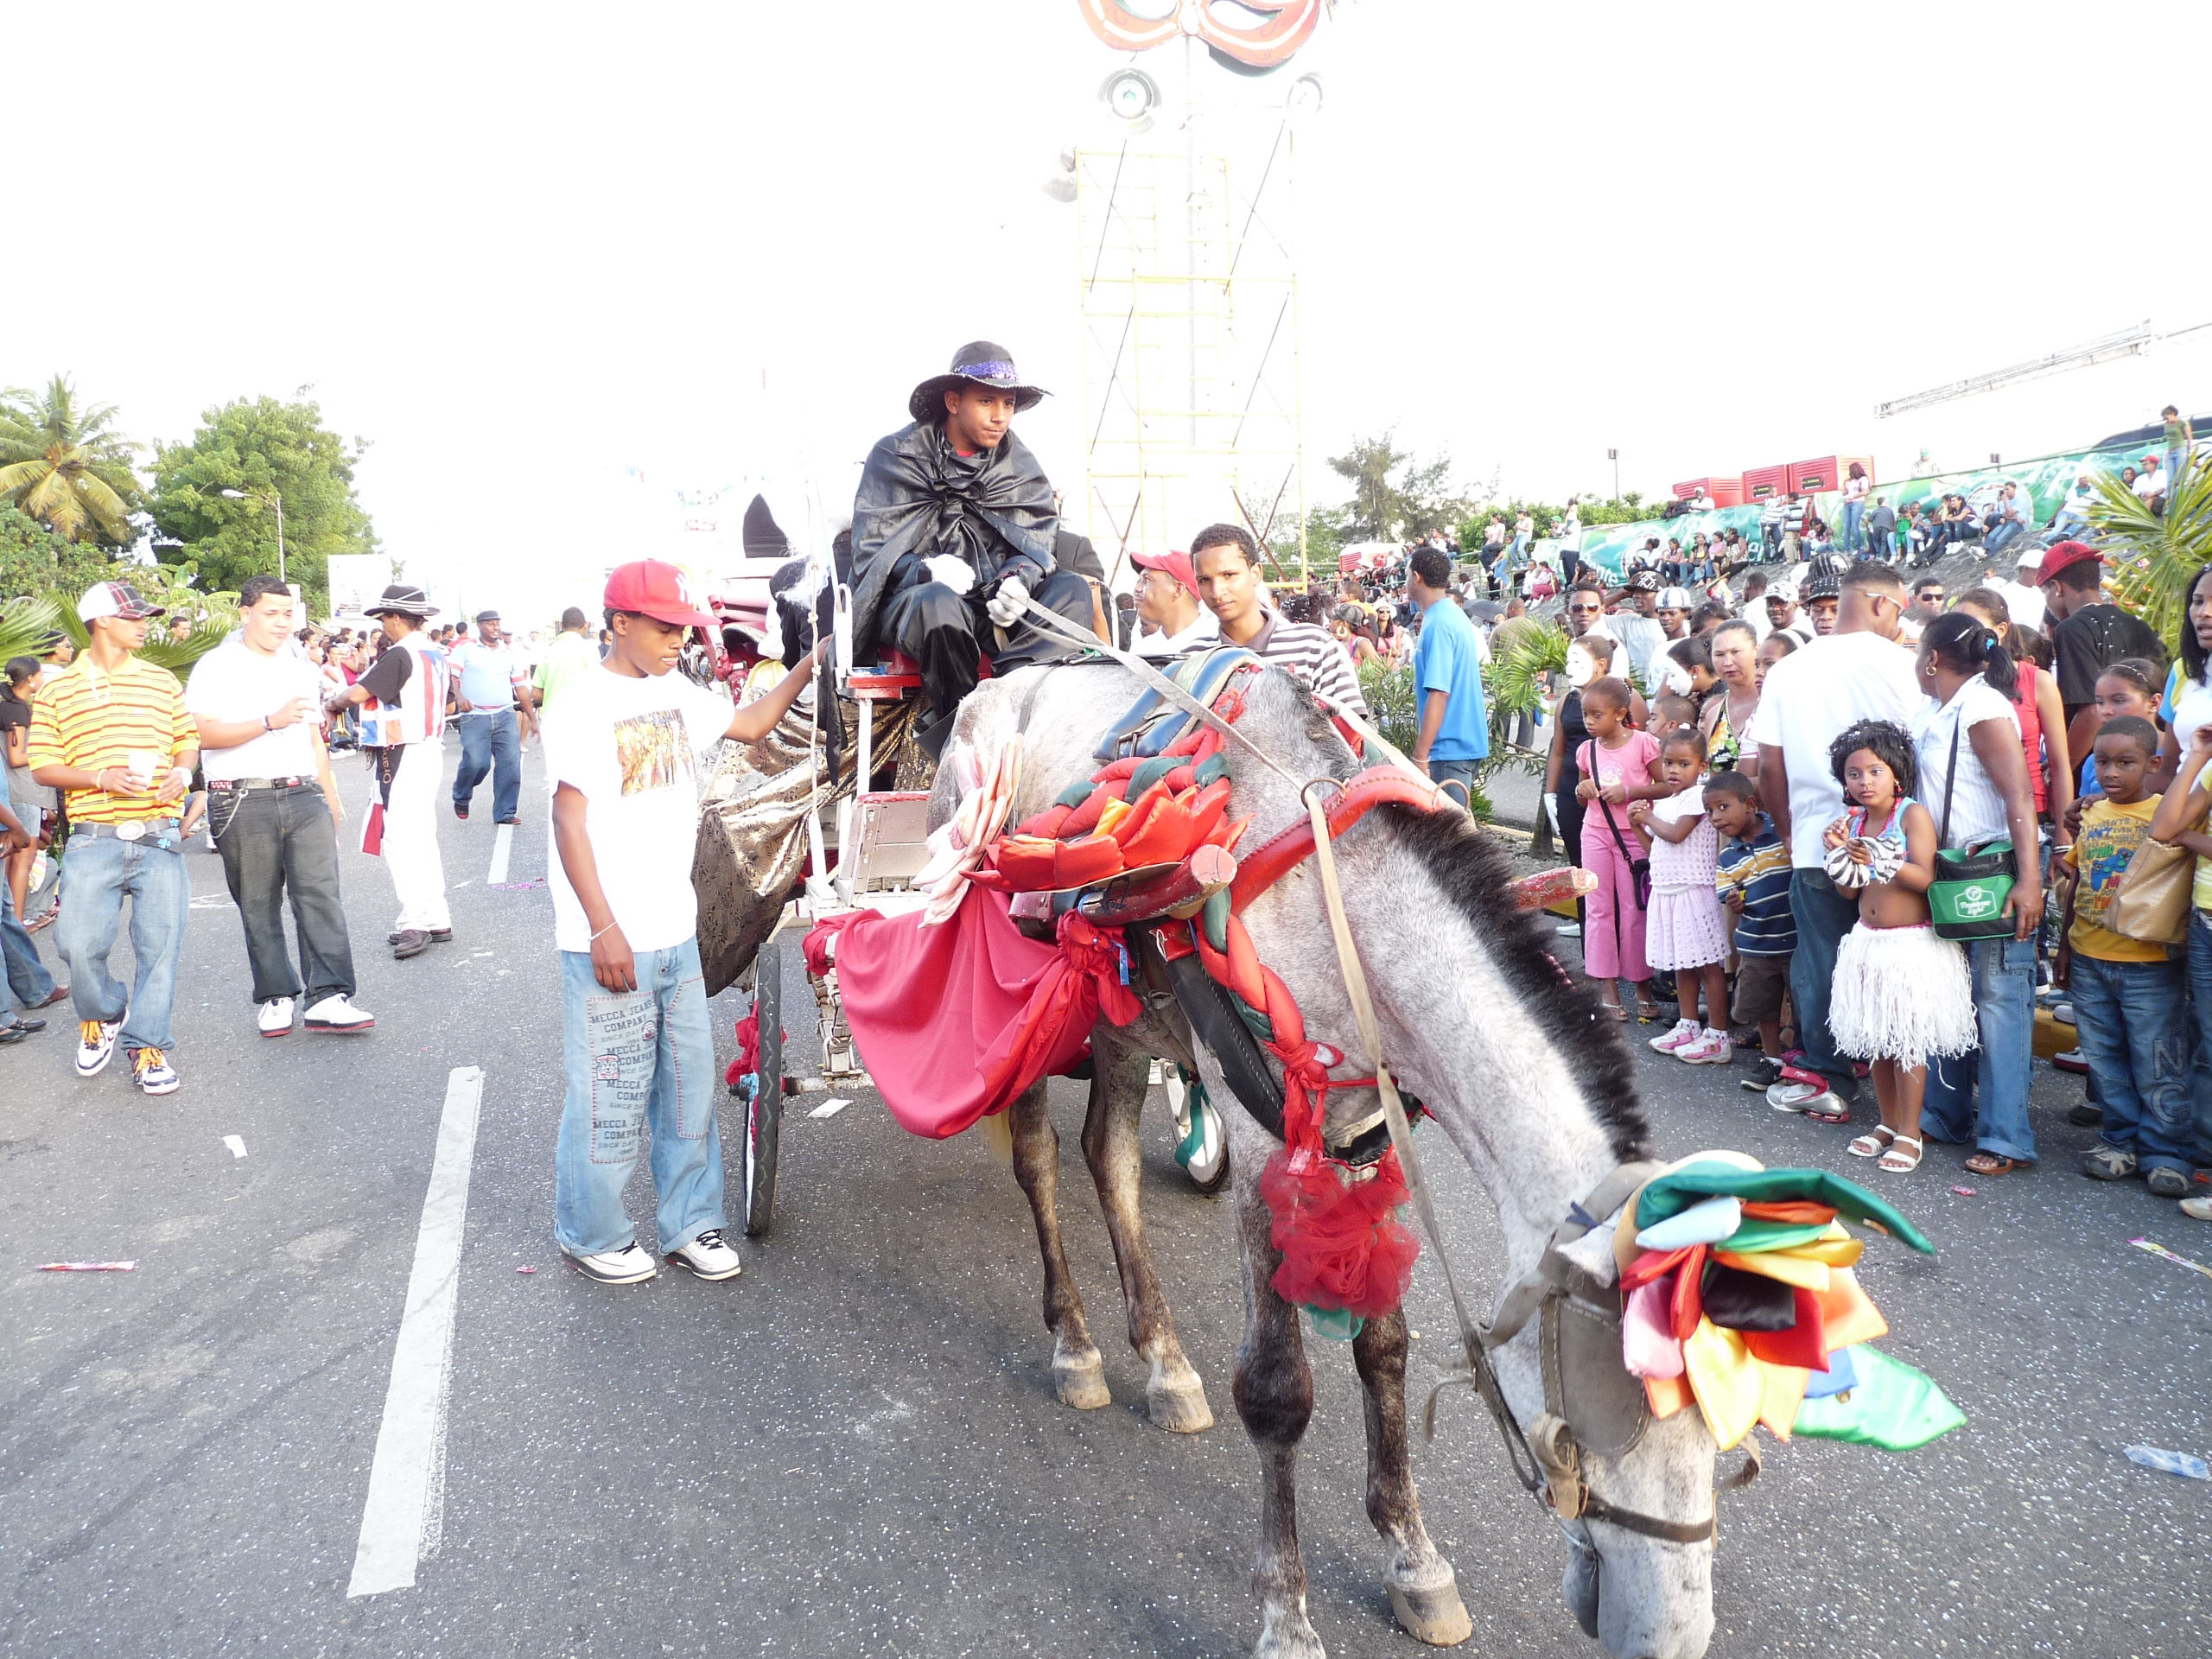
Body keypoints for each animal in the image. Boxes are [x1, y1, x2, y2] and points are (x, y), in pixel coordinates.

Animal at [933, 668, 1725, 1659]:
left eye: (1738, 1438)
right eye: (1605, 1411)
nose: (1672, 1635)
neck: (1336, 898)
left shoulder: (1370, 1138)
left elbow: (1384, 1351)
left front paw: (1414, 1557)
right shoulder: (1261, 1145)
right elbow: (1276, 1389)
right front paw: (1286, 1613)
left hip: (1118, 1015)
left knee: (1107, 1157)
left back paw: (1163, 1361)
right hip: (1026, 1008)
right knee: (1040, 1161)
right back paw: (1074, 1345)